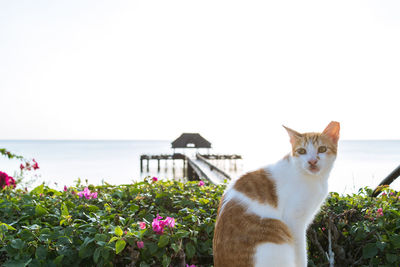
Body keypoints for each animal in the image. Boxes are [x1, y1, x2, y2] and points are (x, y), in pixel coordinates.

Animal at [212, 122, 340, 267]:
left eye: (322, 149)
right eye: (302, 151)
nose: (312, 161)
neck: (316, 179)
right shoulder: (294, 221)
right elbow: (301, 255)